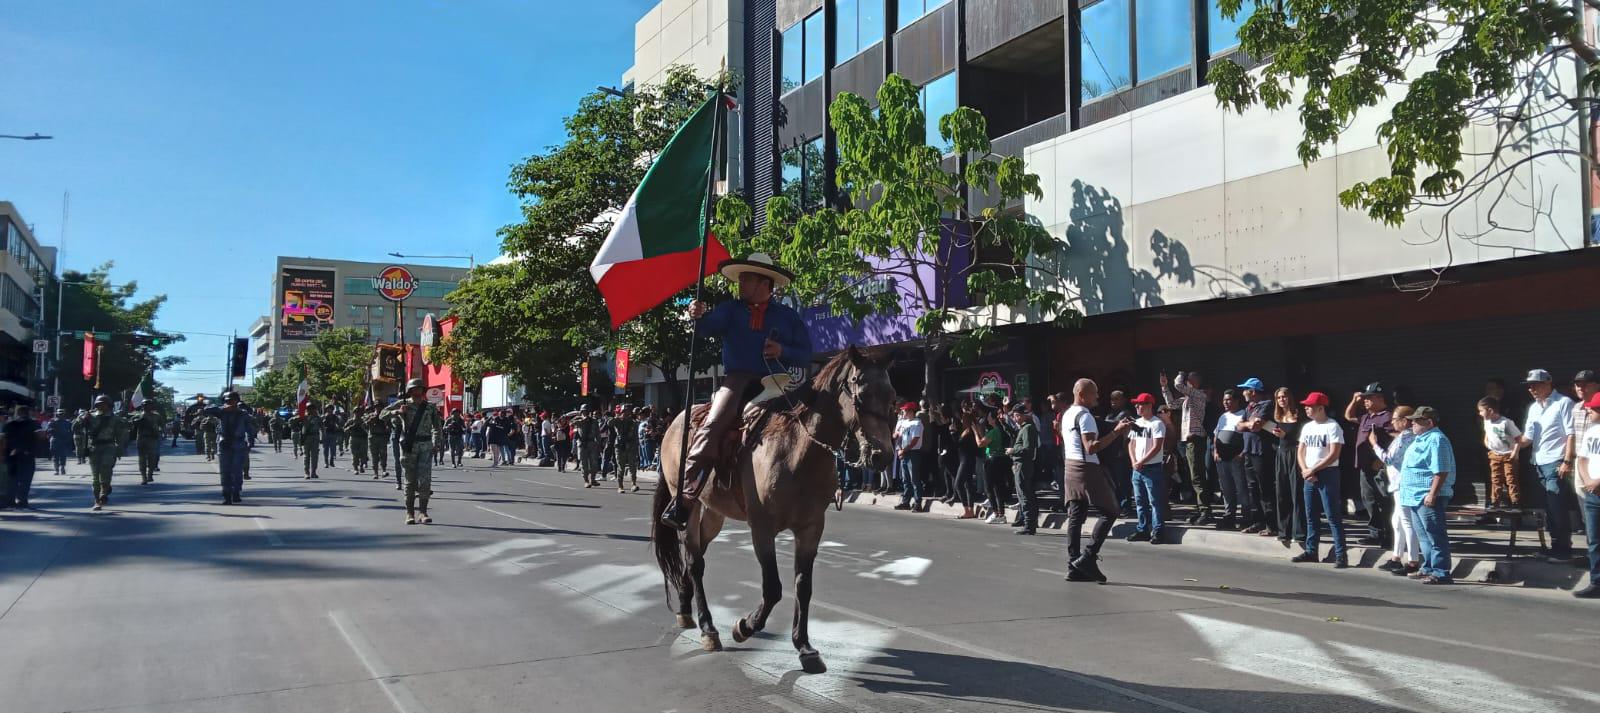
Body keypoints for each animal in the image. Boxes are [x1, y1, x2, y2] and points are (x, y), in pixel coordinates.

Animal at [649, 348, 902, 671]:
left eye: (892, 395)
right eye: (861, 394)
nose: (884, 456)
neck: (798, 450)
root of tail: (674, 421)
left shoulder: (811, 528)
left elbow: (802, 586)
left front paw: (804, 647)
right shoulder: (762, 528)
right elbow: (773, 588)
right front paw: (744, 626)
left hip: (715, 513)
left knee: (696, 555)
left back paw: (684, 607)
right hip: (687, 504)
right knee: (695, 561)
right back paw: (708, 628)